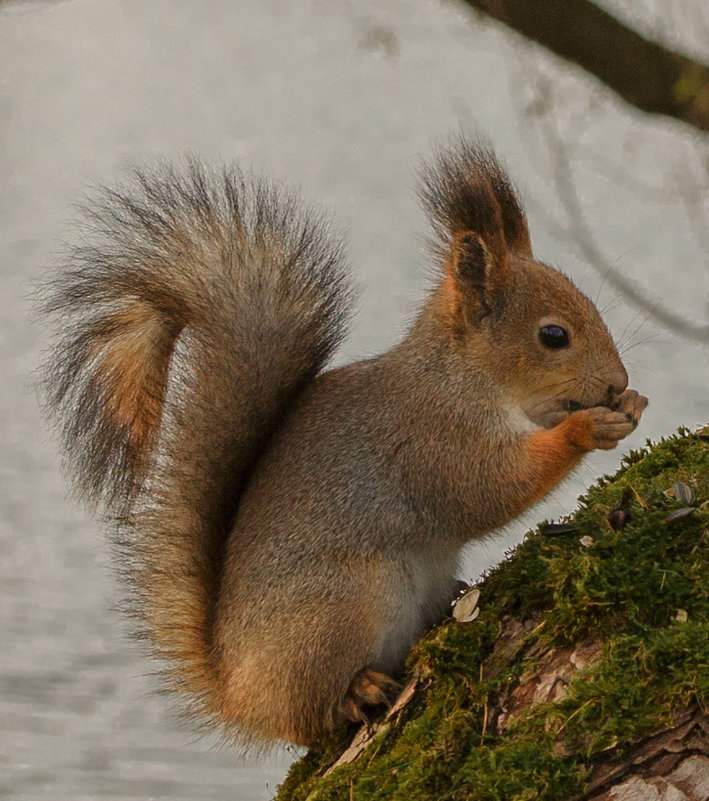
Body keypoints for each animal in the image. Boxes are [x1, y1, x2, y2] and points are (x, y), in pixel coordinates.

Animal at [38, 136, 648, 744]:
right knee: (311, 713)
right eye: (554, 336)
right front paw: (587, 427)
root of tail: (238, 692)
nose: (615, 382)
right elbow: (490, 490)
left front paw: (633, 406)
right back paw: (356, 691)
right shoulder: (433, 437)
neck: (463, 375)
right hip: (347, 600)